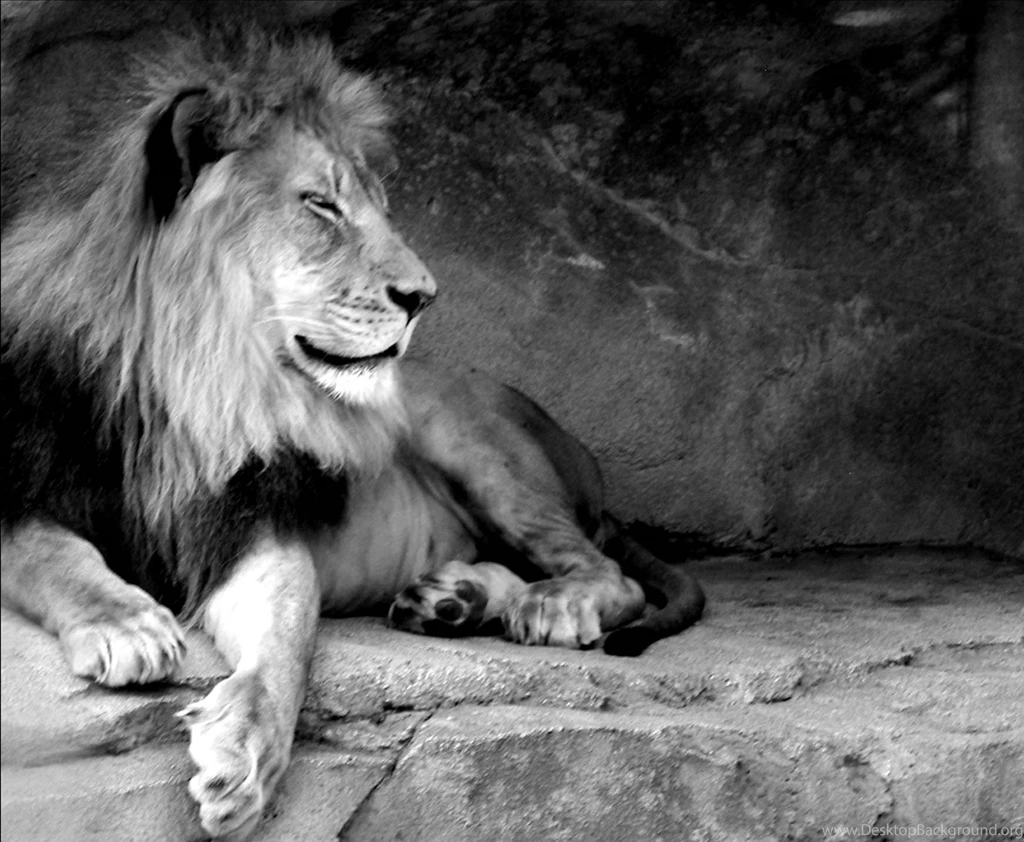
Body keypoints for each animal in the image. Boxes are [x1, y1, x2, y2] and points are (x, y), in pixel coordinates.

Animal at [0, 27, 704, 840]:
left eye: (379, 208)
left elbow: (288, 635)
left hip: (468, 437)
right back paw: (452, 598)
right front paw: (127, 624)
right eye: (321, 205)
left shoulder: (251, 525)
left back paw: (541, 604)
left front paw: (247, 754)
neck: (193, 392)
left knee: (608, 572)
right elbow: (50, 551)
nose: (424, 295)